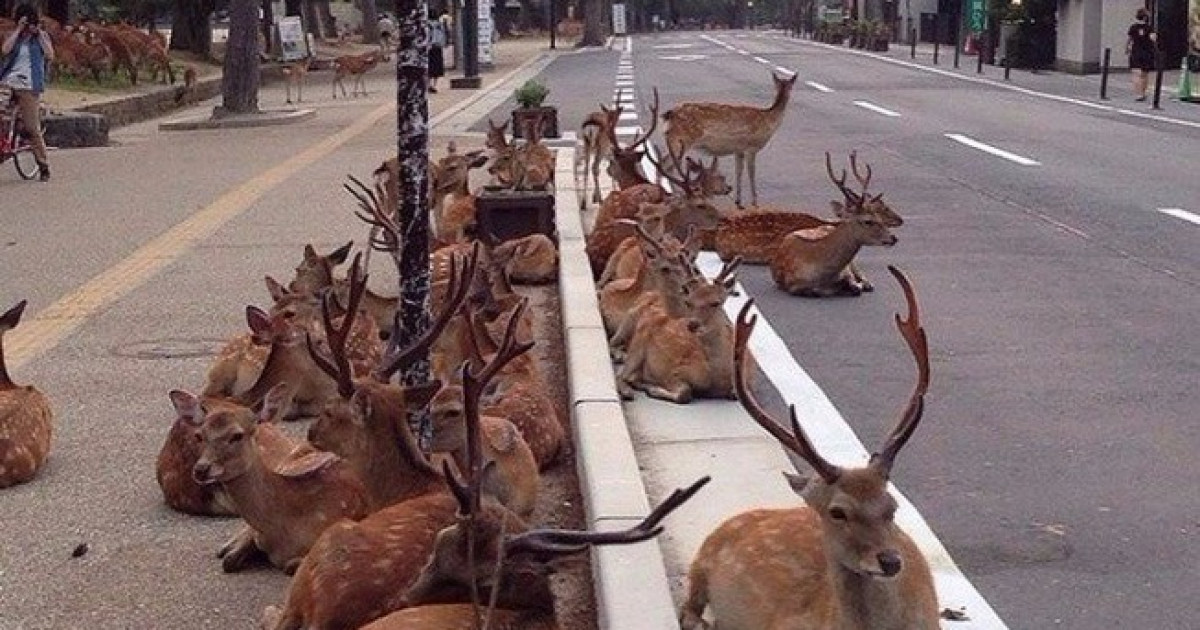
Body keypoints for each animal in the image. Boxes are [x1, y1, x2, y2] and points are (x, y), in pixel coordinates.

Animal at [180, 382, 371, 574]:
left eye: (237, 435)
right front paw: (231, 550)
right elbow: (229, 561)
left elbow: (289, 566)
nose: (201, 469)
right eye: (199, 435)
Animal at [663, 71, 798, 208]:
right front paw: (754, 202)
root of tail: (670, 115)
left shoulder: (739, 150)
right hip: (682, 139)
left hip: (674, 140)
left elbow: (738, 171)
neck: (769, 121)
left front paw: (738, 201)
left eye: (788, 85)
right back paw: (673, 194)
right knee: (668, 165)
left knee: (666, 163)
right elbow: (751, 172)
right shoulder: (751, 147)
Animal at [769, 153, 899, 297]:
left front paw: (854, 286)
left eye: (879, 217)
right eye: (868, 221)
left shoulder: (846, 271)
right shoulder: (792, 285)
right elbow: (814, 291)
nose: (893, 238)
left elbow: (854, 287)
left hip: (852, 263)